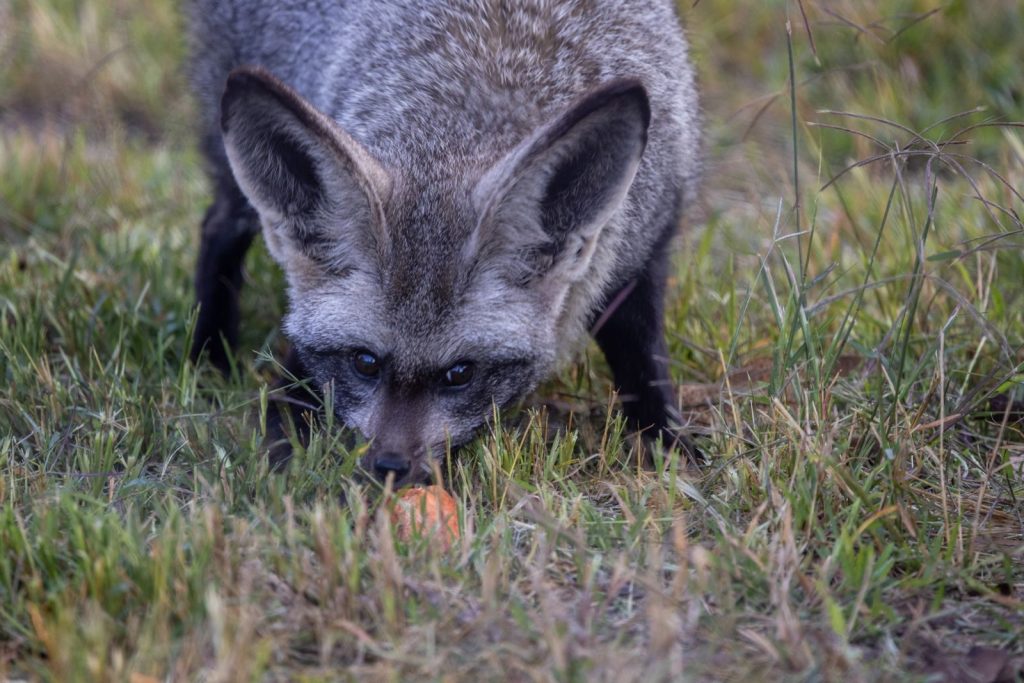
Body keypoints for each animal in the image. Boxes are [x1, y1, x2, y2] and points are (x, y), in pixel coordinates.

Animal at [188, 0, 702, 485]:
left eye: (460, 373)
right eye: (365, 362)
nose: (390, 466)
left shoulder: (644, 243)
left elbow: (642, 358)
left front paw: (669, 442)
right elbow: (296, 380)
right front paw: (285, 454)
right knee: (217, 227)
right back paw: (209, 359)